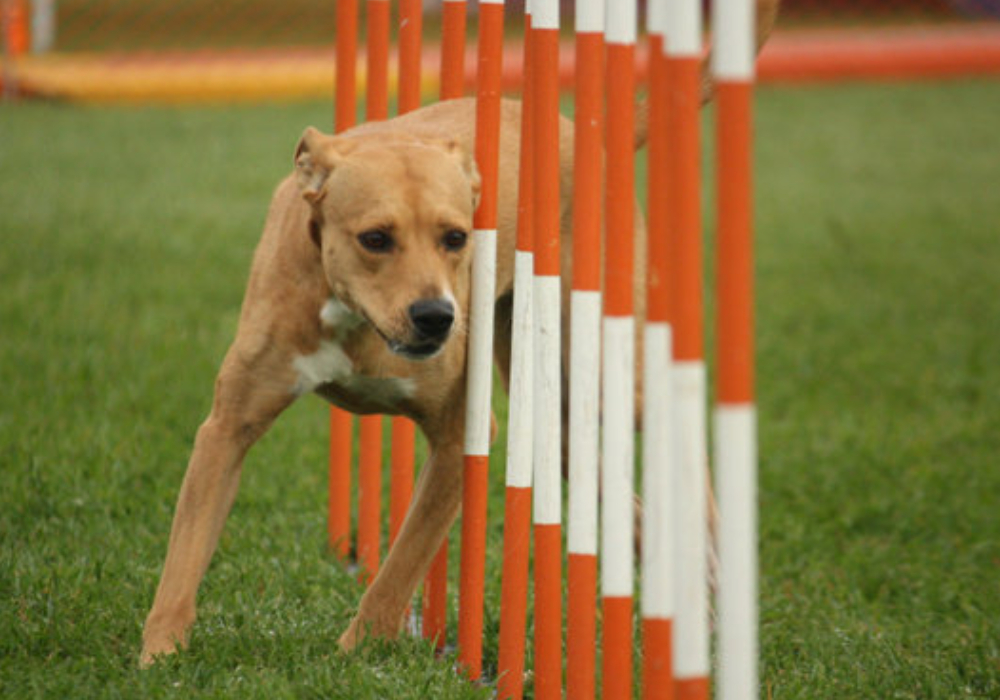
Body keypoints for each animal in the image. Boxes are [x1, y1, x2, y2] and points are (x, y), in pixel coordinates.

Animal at [143, 1, 780, 668]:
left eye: (456, 237)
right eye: (375, 238)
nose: (436, 316)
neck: (355, 320)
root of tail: (587, 133)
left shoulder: (460, 439)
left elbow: (401, 564)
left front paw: (356, 650)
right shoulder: (228, 428)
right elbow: (185, 554)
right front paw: (160, 655)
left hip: (603, 364)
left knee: (679, 441)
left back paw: (711, 576)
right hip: (552, 403)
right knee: (604, 479)